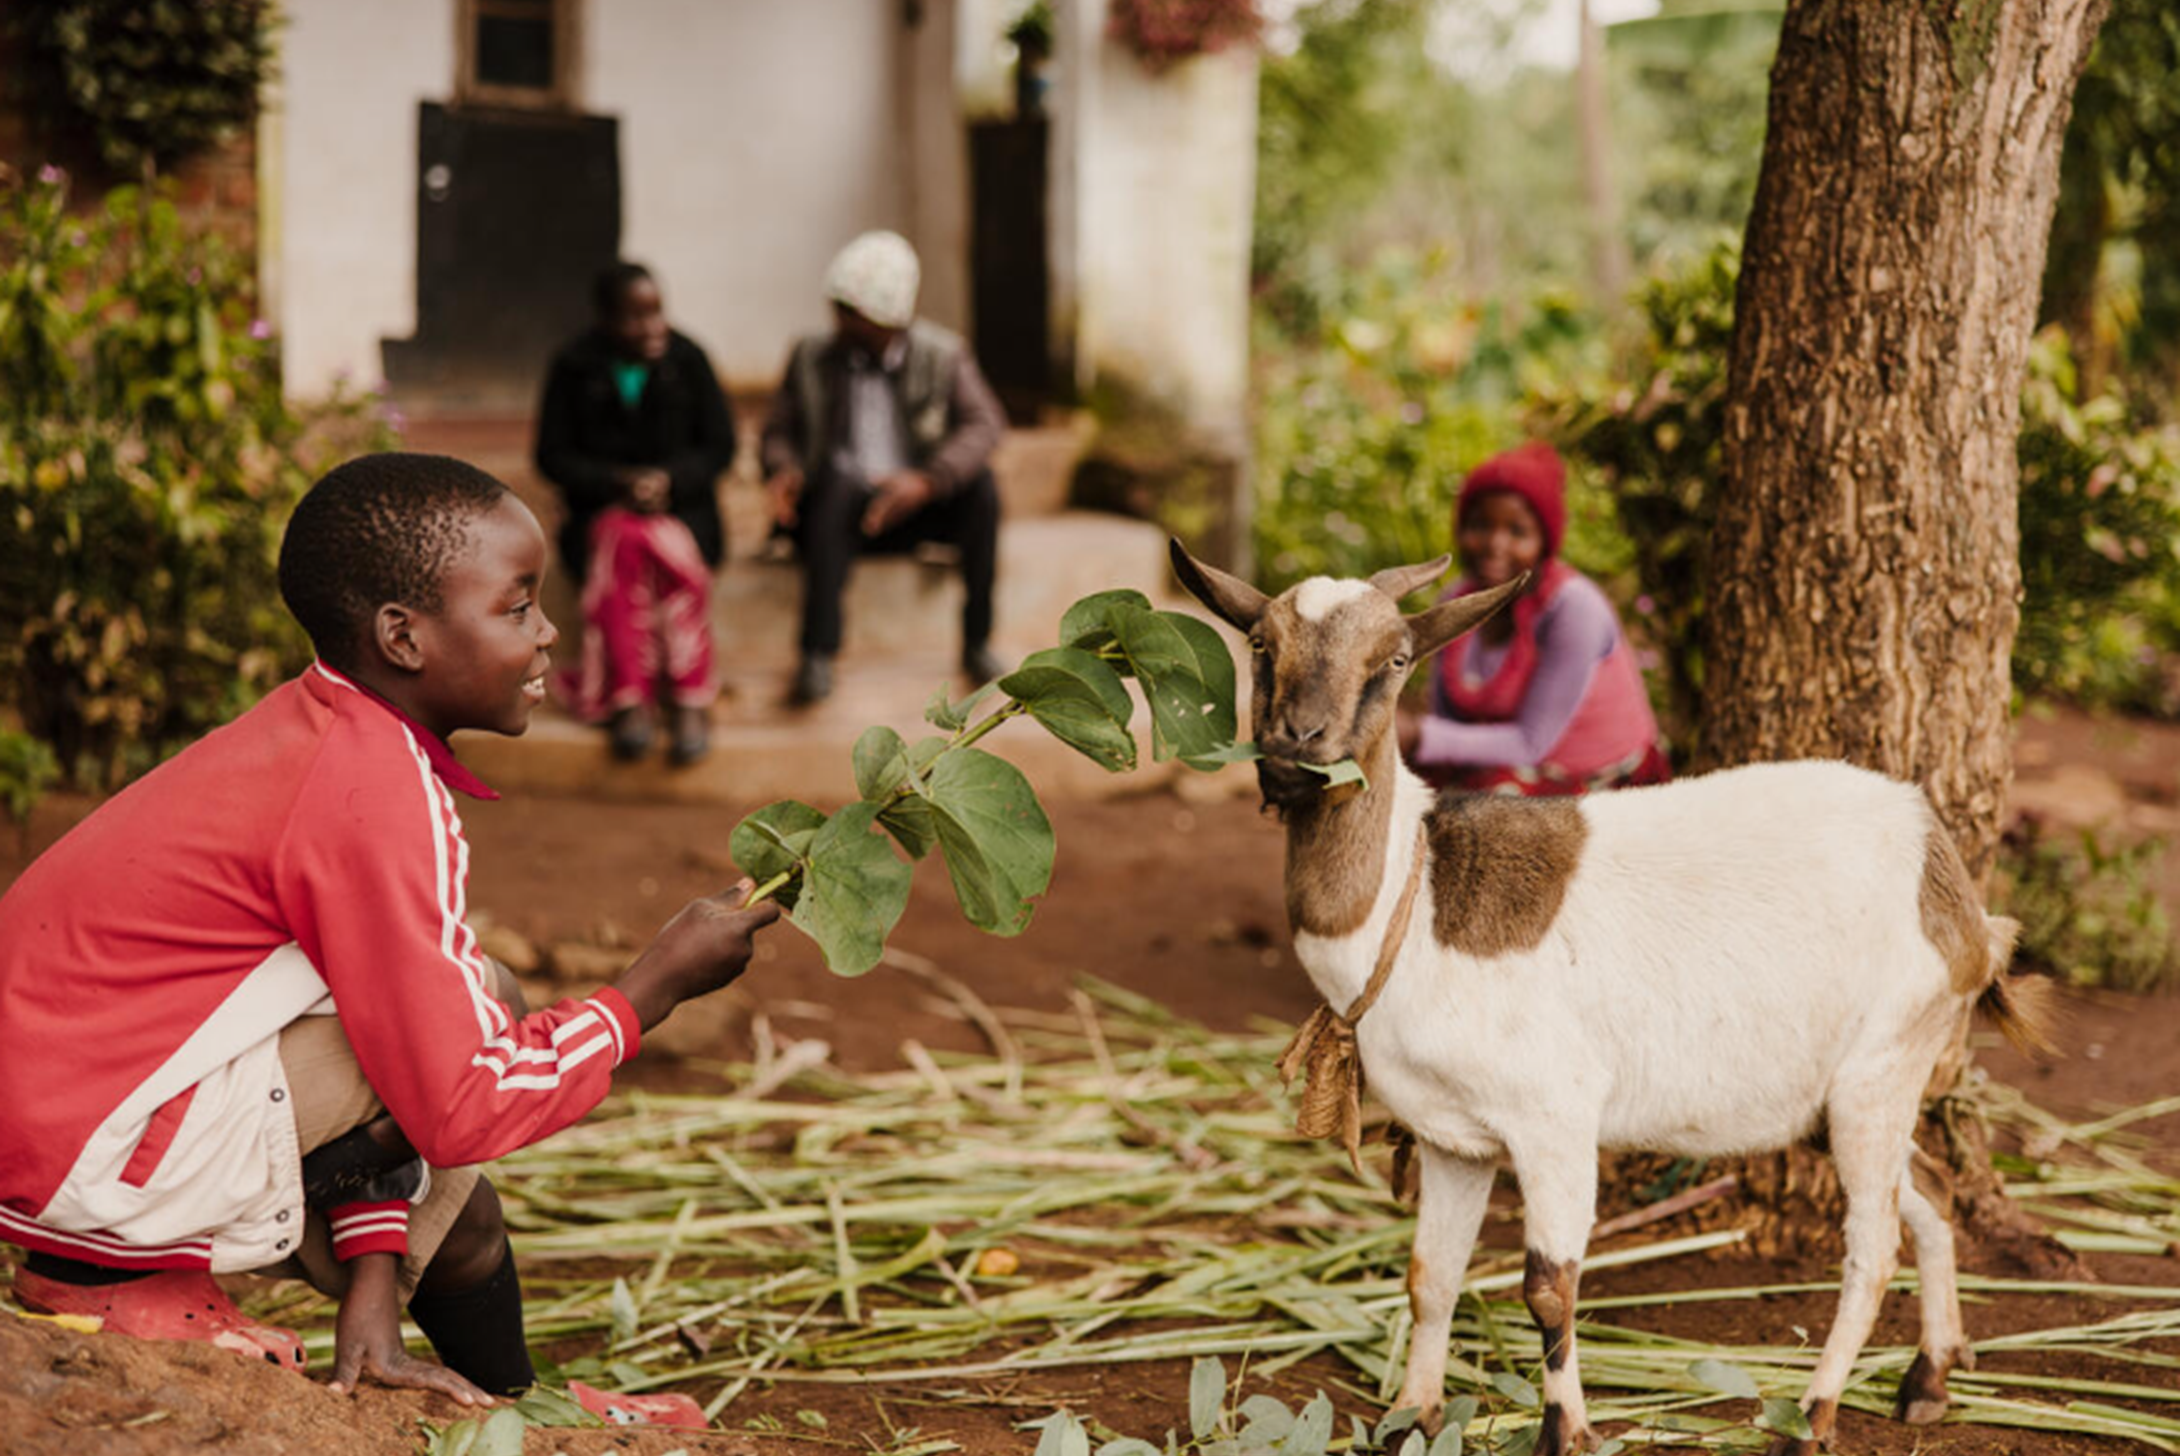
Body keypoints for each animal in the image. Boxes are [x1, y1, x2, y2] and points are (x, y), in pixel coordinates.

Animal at [1177, 542, 2040, 1456]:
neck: (1416, 900)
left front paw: (1566, 1432)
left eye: (1397, 660)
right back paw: (1930, 1376)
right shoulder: (1453, 1139)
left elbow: (1548, 1287)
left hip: (1882, 1063)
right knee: (1931, 1194)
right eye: (1260, 644)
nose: (1296, 746)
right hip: (1850, 1091)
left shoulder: (1554, 1116)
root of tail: (1959, 899)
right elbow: (1429, 1275)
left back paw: (1813, 1415)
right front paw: (1411, 1415)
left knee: (1871, 1251)